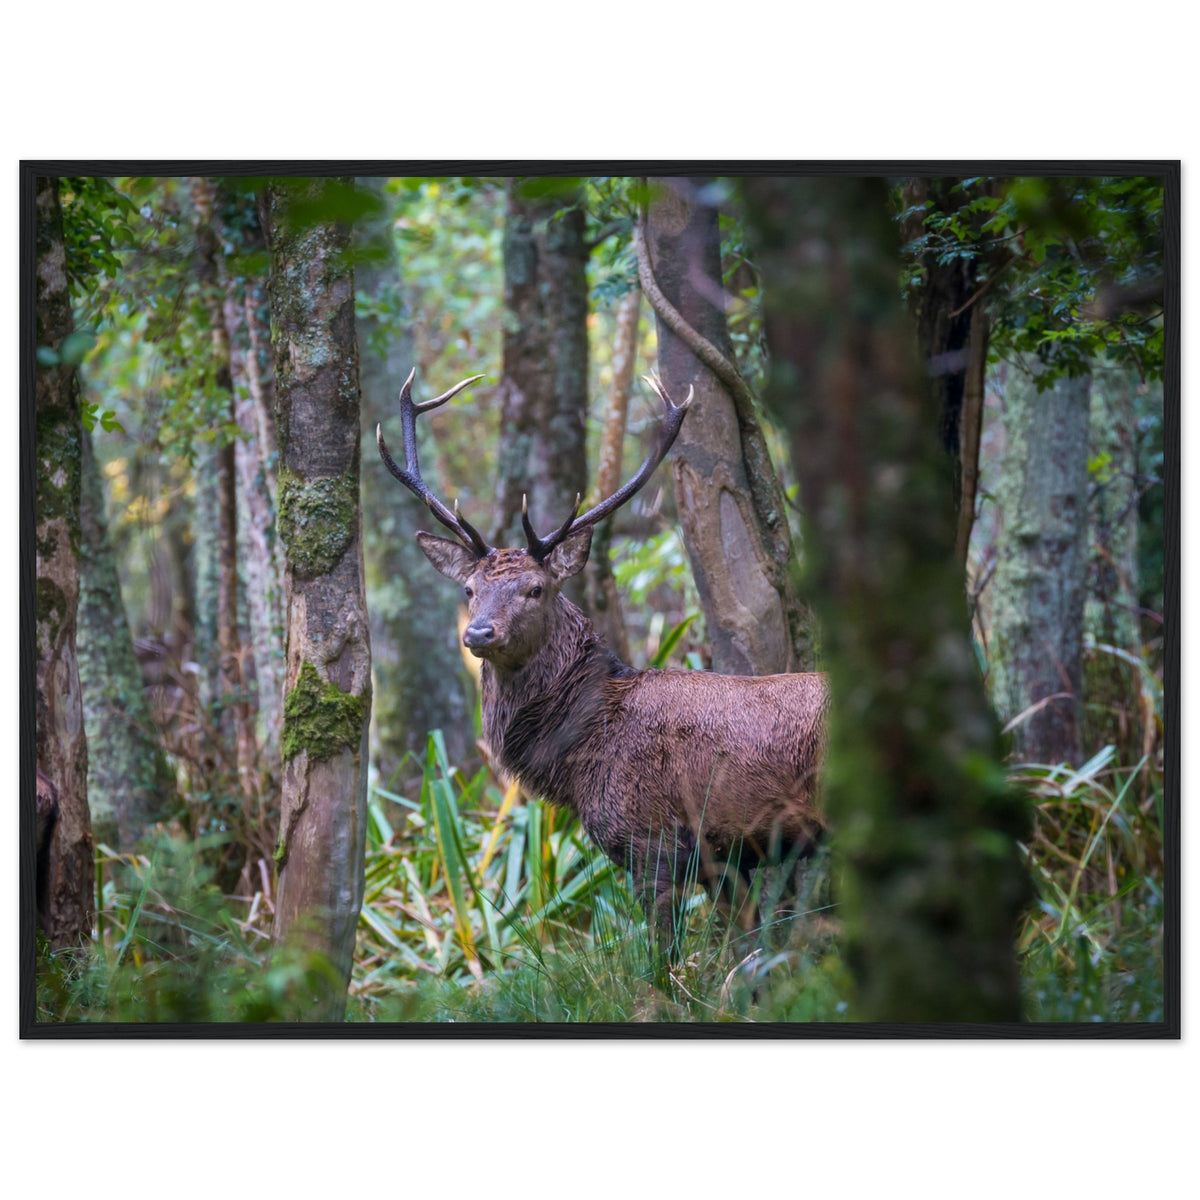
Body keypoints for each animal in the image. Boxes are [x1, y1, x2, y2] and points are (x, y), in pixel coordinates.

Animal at [378, 369, 828, 963]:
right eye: (470, 589)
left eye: (535, 589)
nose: (478, 632)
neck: (578, 758)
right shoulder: (723, 858)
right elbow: (748, 946)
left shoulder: (652, 839)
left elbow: (661, 959)